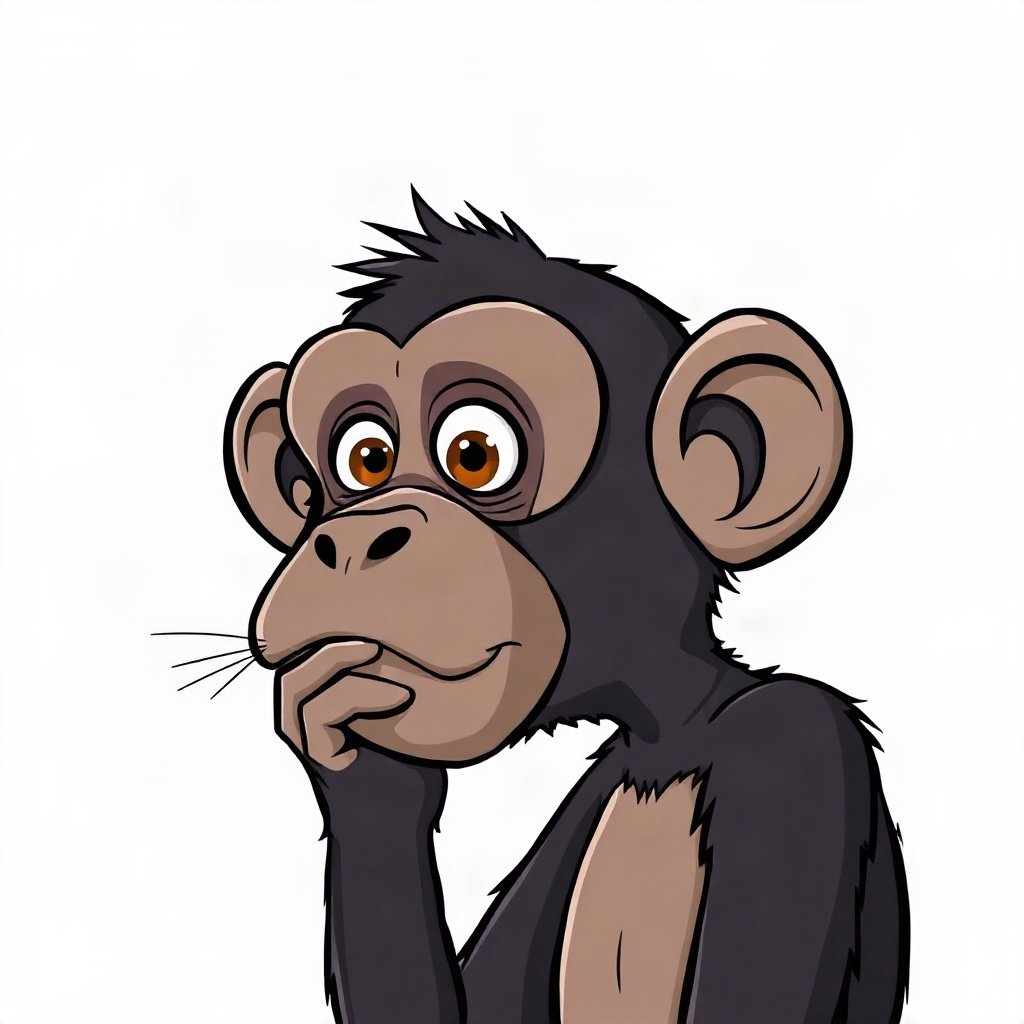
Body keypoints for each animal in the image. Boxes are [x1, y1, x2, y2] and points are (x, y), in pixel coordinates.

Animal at [223, 190, 910, 1023]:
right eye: (366, 461)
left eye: (475, 453)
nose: (354, 538)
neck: (669, 737)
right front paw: (365, 773)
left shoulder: (792, 752)